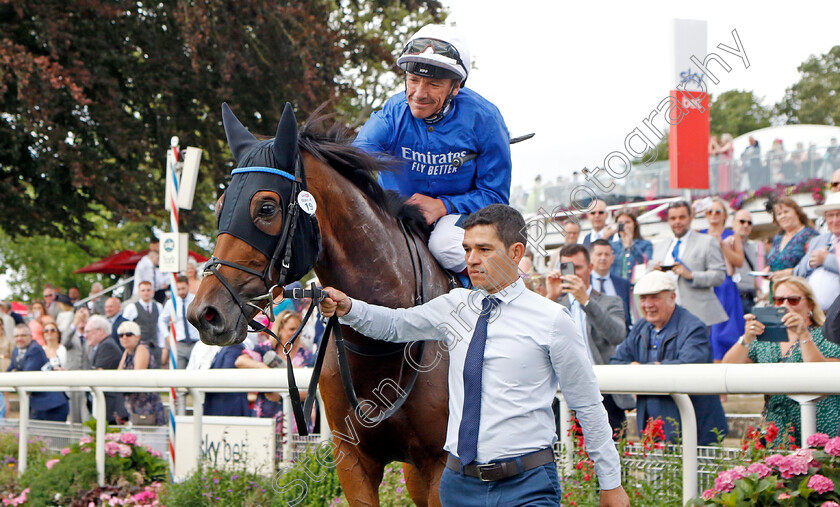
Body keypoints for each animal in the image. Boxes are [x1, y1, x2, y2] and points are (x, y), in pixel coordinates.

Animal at [190, 104, 452, 507]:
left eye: (266, 207)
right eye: (220, 206)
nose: (204, 313)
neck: (387, 344)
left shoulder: (441, 463)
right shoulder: (353, 460)